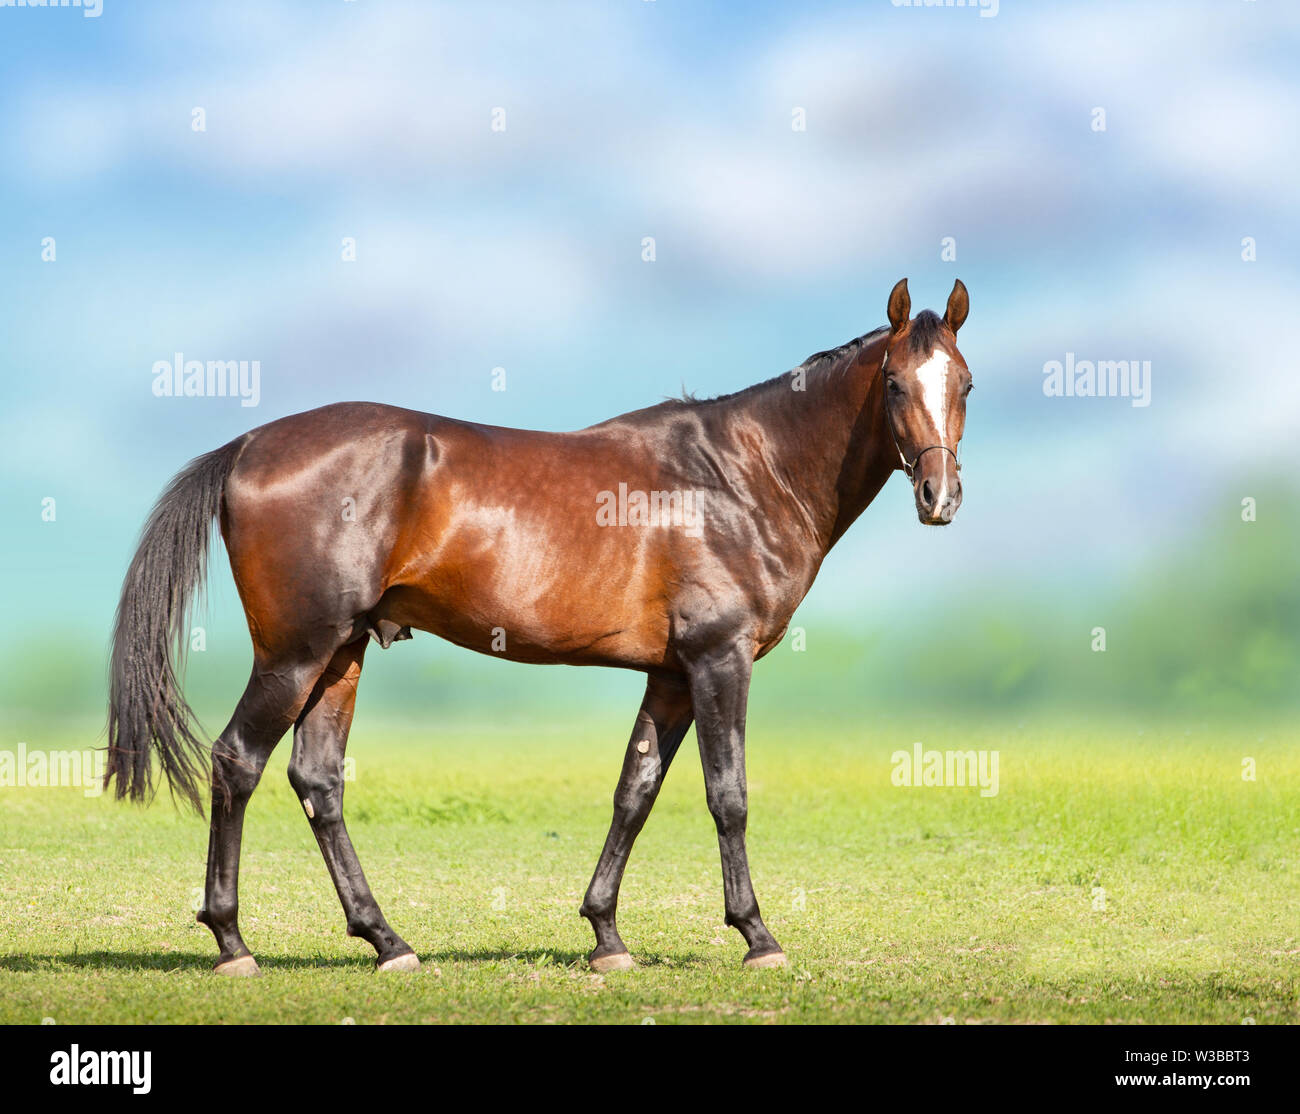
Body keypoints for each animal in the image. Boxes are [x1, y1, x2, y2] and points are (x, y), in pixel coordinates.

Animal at [106, 277, 972, 975]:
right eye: (894, 382)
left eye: (964, 381)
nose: (940, 498)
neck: (738, 475)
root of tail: (250, 444)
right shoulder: (719, 660)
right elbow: (727, 795)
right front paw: (756, 935)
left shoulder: (670, 675)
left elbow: (634, 792)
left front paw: (606, 936)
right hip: (295, 654)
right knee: (236, 762)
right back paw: (232, 942)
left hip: (341, 657)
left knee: (318, 780)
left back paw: (386, 940)